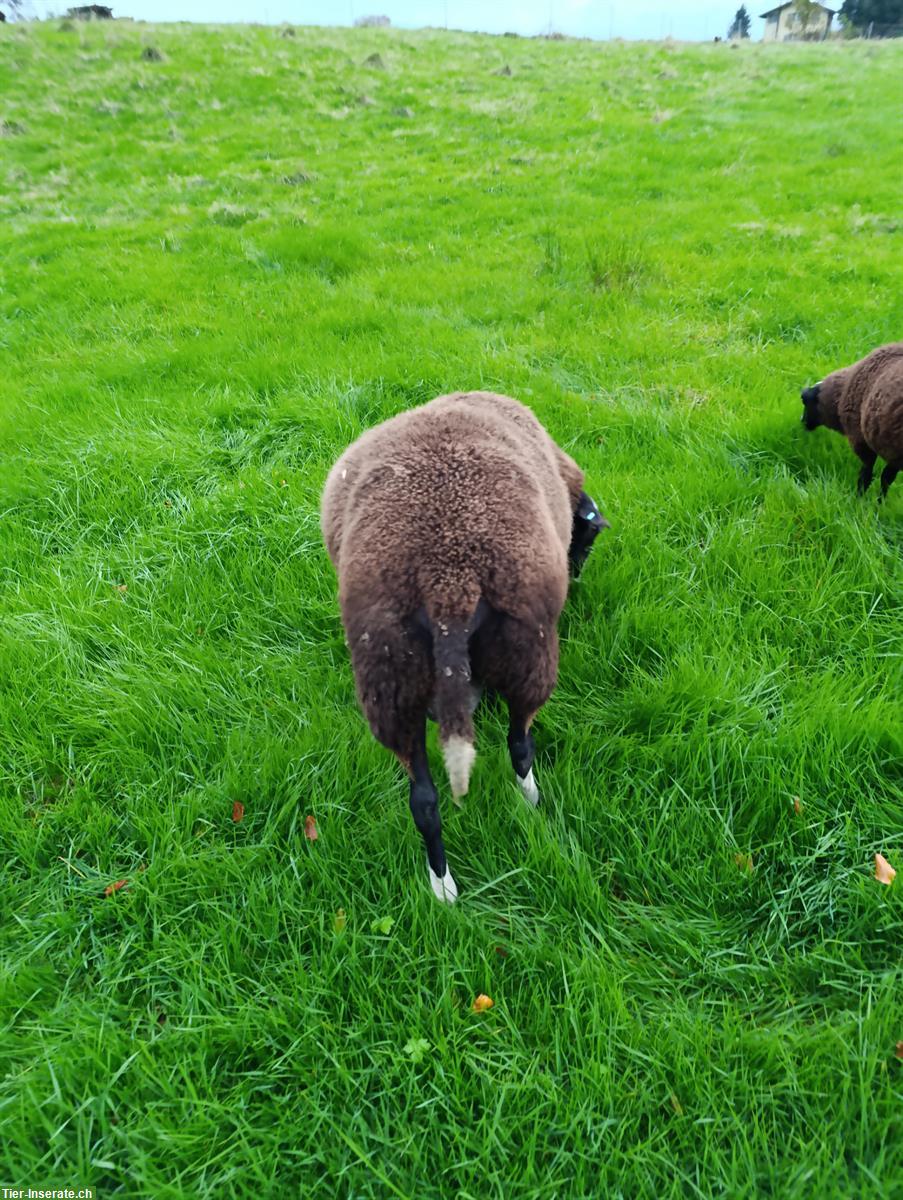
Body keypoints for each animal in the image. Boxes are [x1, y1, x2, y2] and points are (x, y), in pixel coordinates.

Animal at [321, 388, 610, 902]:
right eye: (588, 539)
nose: (575, 574)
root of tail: (448, 585)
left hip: (390, 682)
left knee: (423, 801)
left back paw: (443, 889)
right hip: (530, 656)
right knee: (520, 745)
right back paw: (531, 803)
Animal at [802, 343, 903, 496]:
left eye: (806, 402)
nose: (802, 421)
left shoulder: (861, 440)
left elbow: (867, 475)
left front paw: (860, 497)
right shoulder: (894, 454)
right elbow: (887, 478)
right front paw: (880, 500)